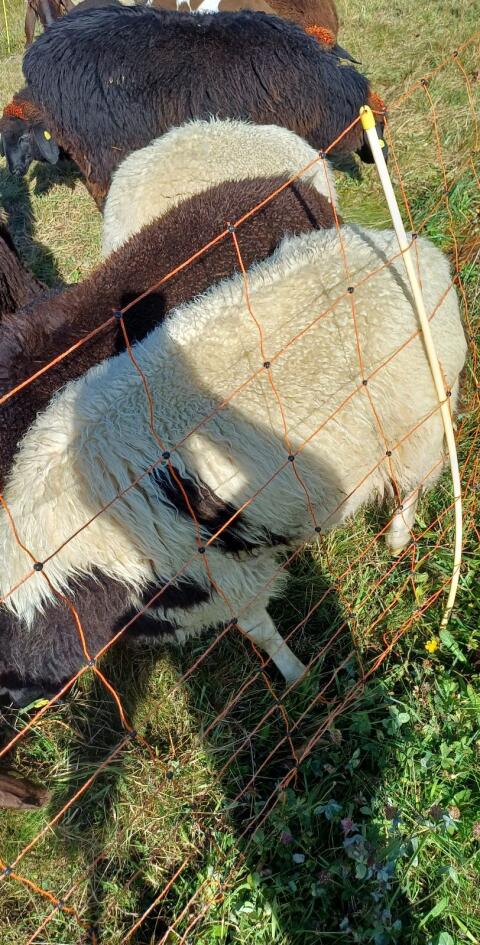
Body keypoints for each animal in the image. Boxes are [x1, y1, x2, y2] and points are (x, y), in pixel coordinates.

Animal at [0, 225, 466, 704]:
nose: (15, 699)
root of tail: (417, 249)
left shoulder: (217, 574)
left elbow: (258, 629)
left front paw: (297, 677)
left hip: (418, 420)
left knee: (414, 484)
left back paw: (397, 540)